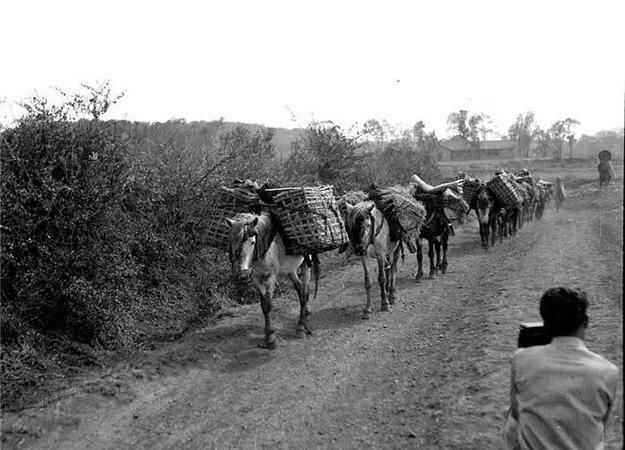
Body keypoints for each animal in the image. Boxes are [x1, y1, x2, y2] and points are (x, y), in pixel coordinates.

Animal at [224, 209, 320, 350]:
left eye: (252, 242)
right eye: (231, 242)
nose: (243, 275)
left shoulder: (271, 275)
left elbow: (268, 305)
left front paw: (271, 339)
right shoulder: (256, 277)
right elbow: (264, 305)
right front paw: (268, 337)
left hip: (306, 262)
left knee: (304, 293)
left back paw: (301, 328)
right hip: (289, 268)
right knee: (299, 286)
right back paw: (306, 315)